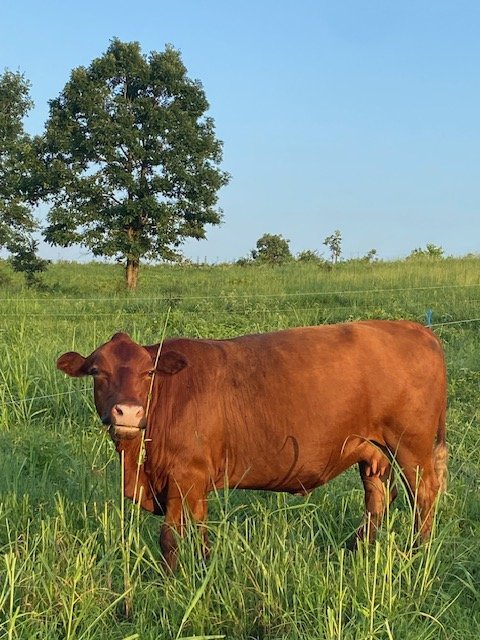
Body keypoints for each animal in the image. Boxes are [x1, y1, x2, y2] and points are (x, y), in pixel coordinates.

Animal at [57, 320, 447, 569]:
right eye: (97, 371)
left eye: (148, 372)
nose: (128, 411)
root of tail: (415, 328)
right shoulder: (195, 482)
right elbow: (201, 531)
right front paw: (204, 569)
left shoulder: (184, 476)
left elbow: (170, 538)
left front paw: (168, 585)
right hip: (372, 450)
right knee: (377, 497)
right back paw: (359, 549)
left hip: (411, 446)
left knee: (424, 495)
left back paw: (418, 553)